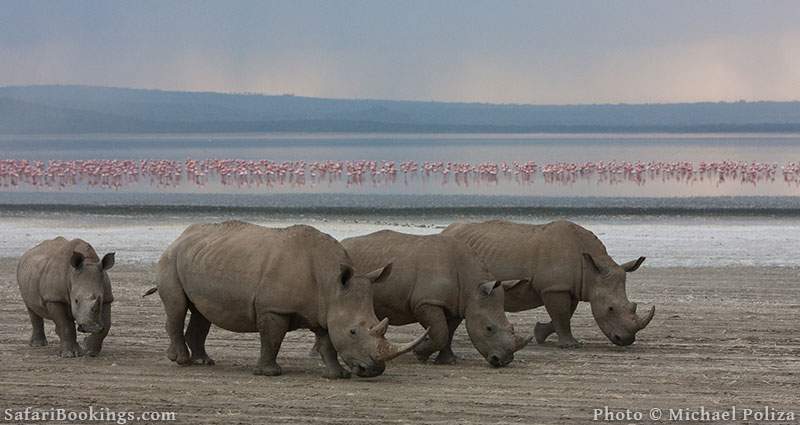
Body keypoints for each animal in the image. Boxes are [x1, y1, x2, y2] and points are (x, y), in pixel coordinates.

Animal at [155, 222, 424, 378]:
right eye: (353, 332)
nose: (374, 371)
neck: (331, 283)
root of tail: (182, 235)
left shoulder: (325, 309)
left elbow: (327, 342)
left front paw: (336, 375)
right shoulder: (274, 308)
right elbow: (272, 339)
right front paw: (269, 373)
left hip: (201, 255)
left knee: (201, 312)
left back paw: (204, 362)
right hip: (170, 258)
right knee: (177, 307)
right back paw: (182, 361)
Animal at [342, 230, 536, 366]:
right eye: (489, 328)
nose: (503, 361)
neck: (472, 285)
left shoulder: (457, 305)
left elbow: (448, 332)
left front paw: (447, 361)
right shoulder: (426, 302)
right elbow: (441, 331)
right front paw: (420, 354)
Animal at [444, 220, 656, 346]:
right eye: (611, 309)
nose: (626, 340)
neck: (591, 270)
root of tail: (447, 229)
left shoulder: (570, 287)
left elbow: (565, 314)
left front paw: (540, 334)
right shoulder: (554, 288)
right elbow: (561, 314)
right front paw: (570, 345)